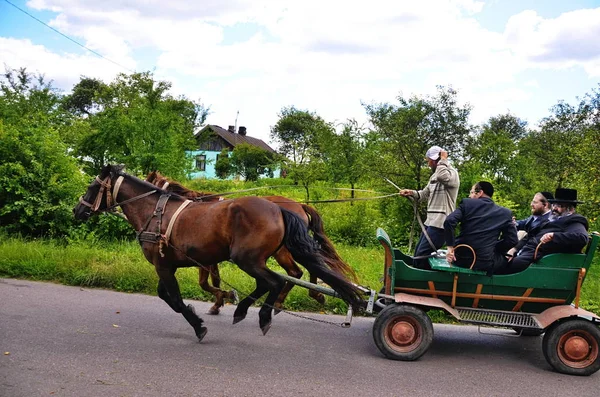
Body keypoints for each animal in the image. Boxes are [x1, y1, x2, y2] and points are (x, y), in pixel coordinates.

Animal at [146, 172, 358, 314]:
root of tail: (299, 205)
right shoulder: (211, 256)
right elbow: (214, 280)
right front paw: (220, 300)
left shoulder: (203, 257)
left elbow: (204, 283)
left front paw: (223, 297)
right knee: (310, 266)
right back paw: (312, 294)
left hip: (283, 251)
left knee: (296, 272)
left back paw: (284, 300)